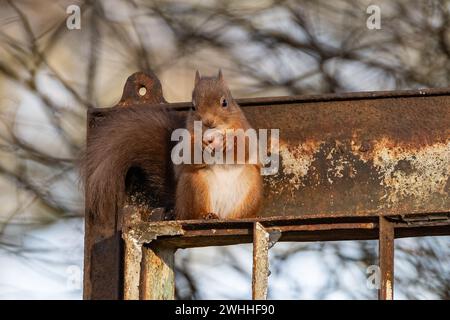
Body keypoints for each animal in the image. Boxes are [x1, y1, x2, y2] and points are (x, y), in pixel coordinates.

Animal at [82, 69, 262, 220]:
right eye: (193, 106)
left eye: (225, 102)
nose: (208, 122)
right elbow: (185, 155)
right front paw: (200, 146)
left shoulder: (245, 129)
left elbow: (246, 147)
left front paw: (229, 141)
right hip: (195, 185)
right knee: (192, 213)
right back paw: (206, 215)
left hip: (250, 188)